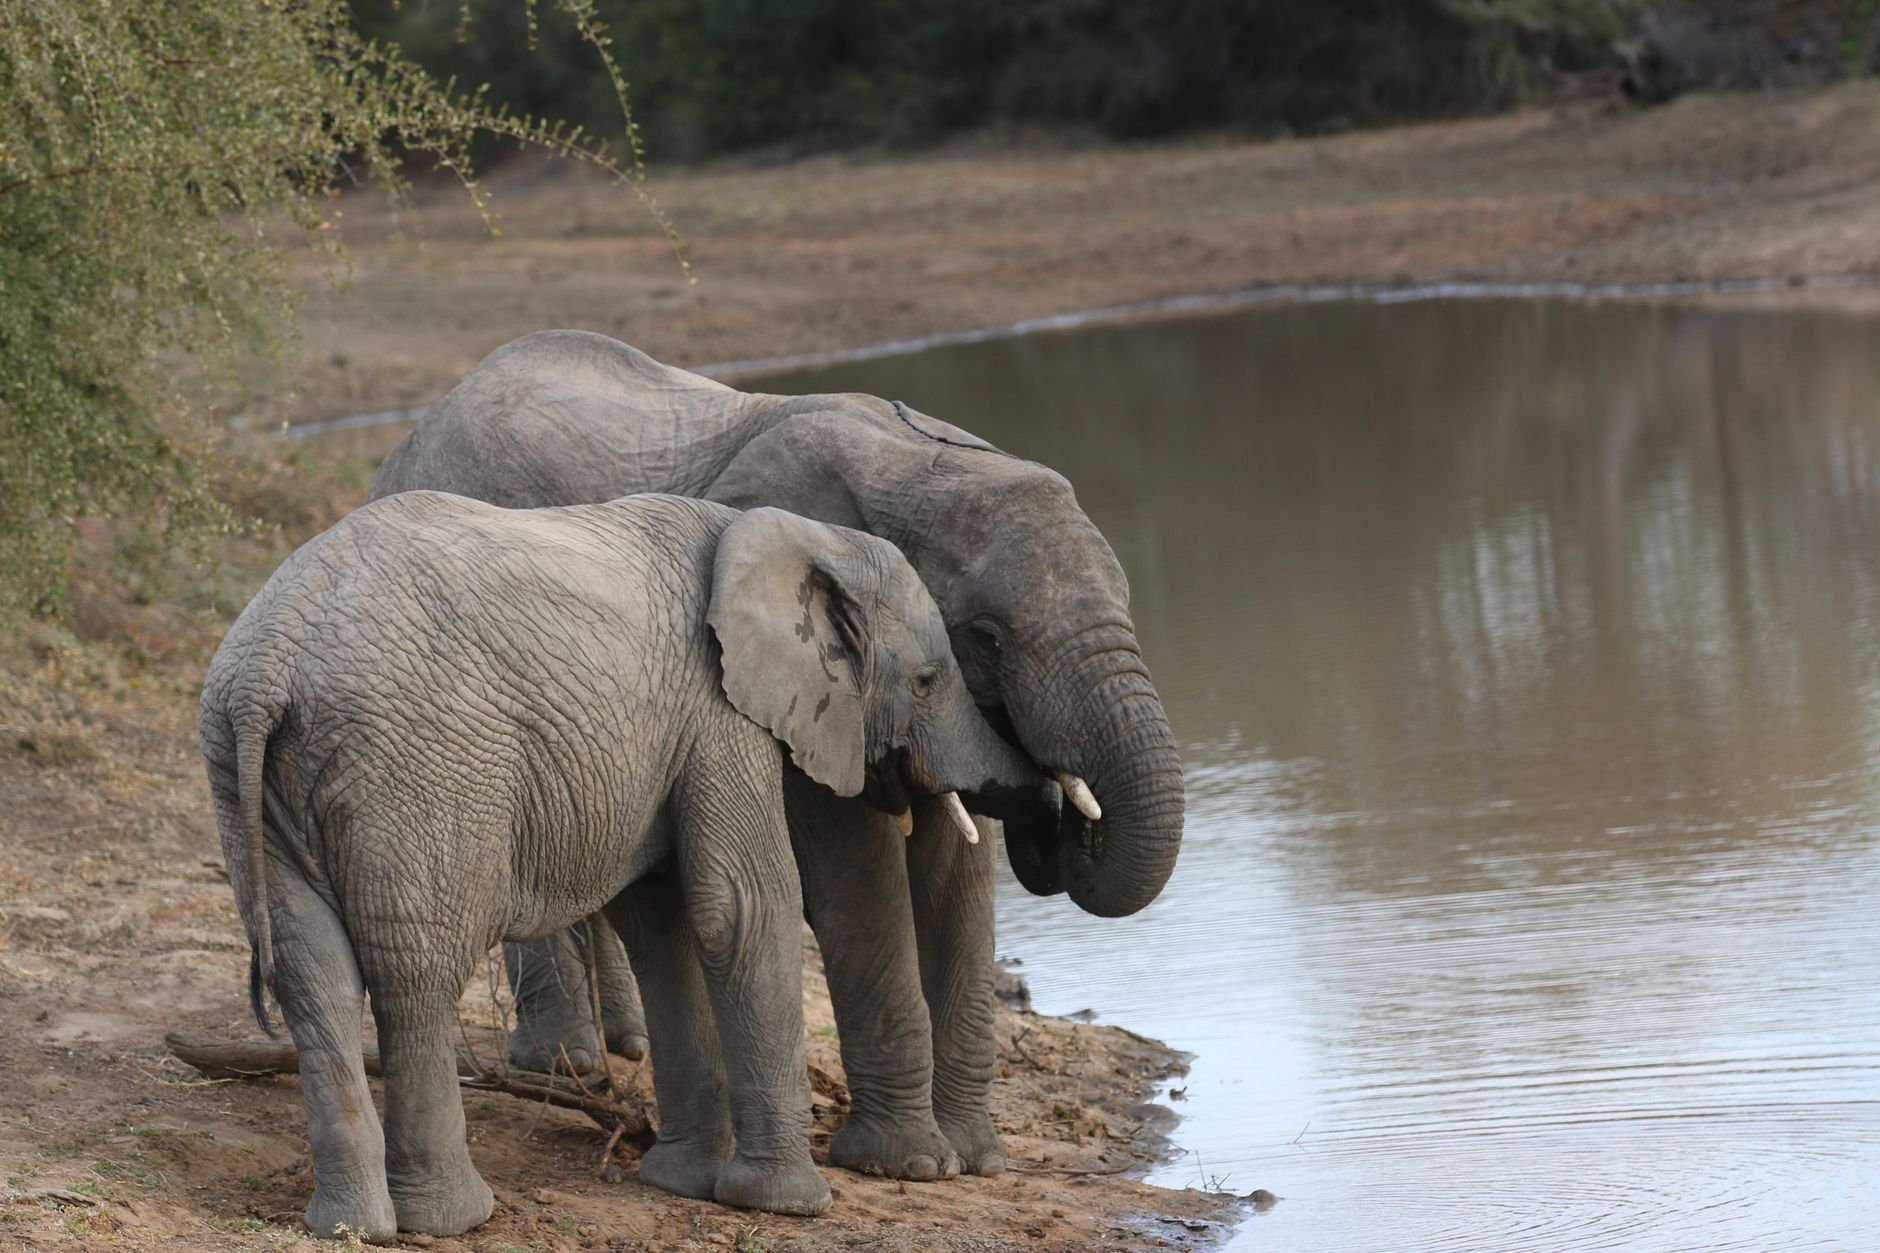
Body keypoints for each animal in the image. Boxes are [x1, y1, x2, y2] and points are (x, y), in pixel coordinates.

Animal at [199, 491, 1047, 1238]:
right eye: (928, 682)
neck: (792, 532)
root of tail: (267, 665)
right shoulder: (718, 712)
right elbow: (742, 905)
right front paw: (787, 1205)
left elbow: (662, 920)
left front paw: (679, 1183)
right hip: (416, 769)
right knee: (417, 974)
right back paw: (454, 1219)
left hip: (253, 782)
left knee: (315, 976)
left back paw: (351, 1226)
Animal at [368, 330, 1186, 1180]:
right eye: (987, 636)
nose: (1063, 813)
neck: (917, 460)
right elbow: (858, 872)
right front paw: (907, 1164)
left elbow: (955, 875)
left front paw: (975, 1158)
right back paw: (568, 1066)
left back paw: (625, 1045)